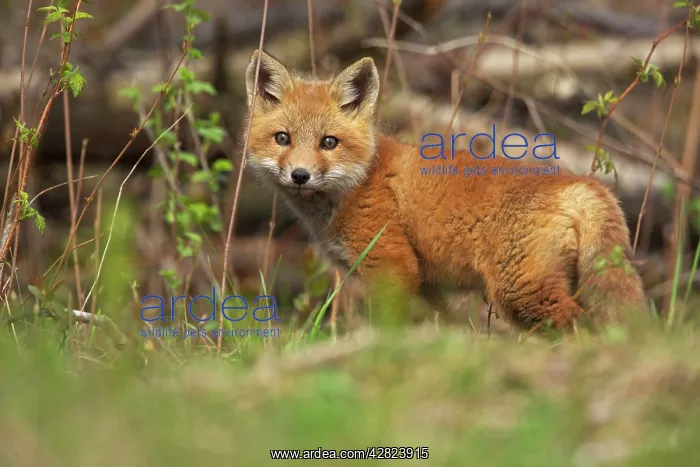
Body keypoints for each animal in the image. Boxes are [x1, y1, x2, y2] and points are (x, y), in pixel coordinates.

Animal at [243, 49, 649, 331]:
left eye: (328, 142)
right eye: (282, 138)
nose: (300, 175)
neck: (357, 183)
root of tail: (581, 183)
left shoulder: (391, 264)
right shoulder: (427, 287)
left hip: (521, 292)